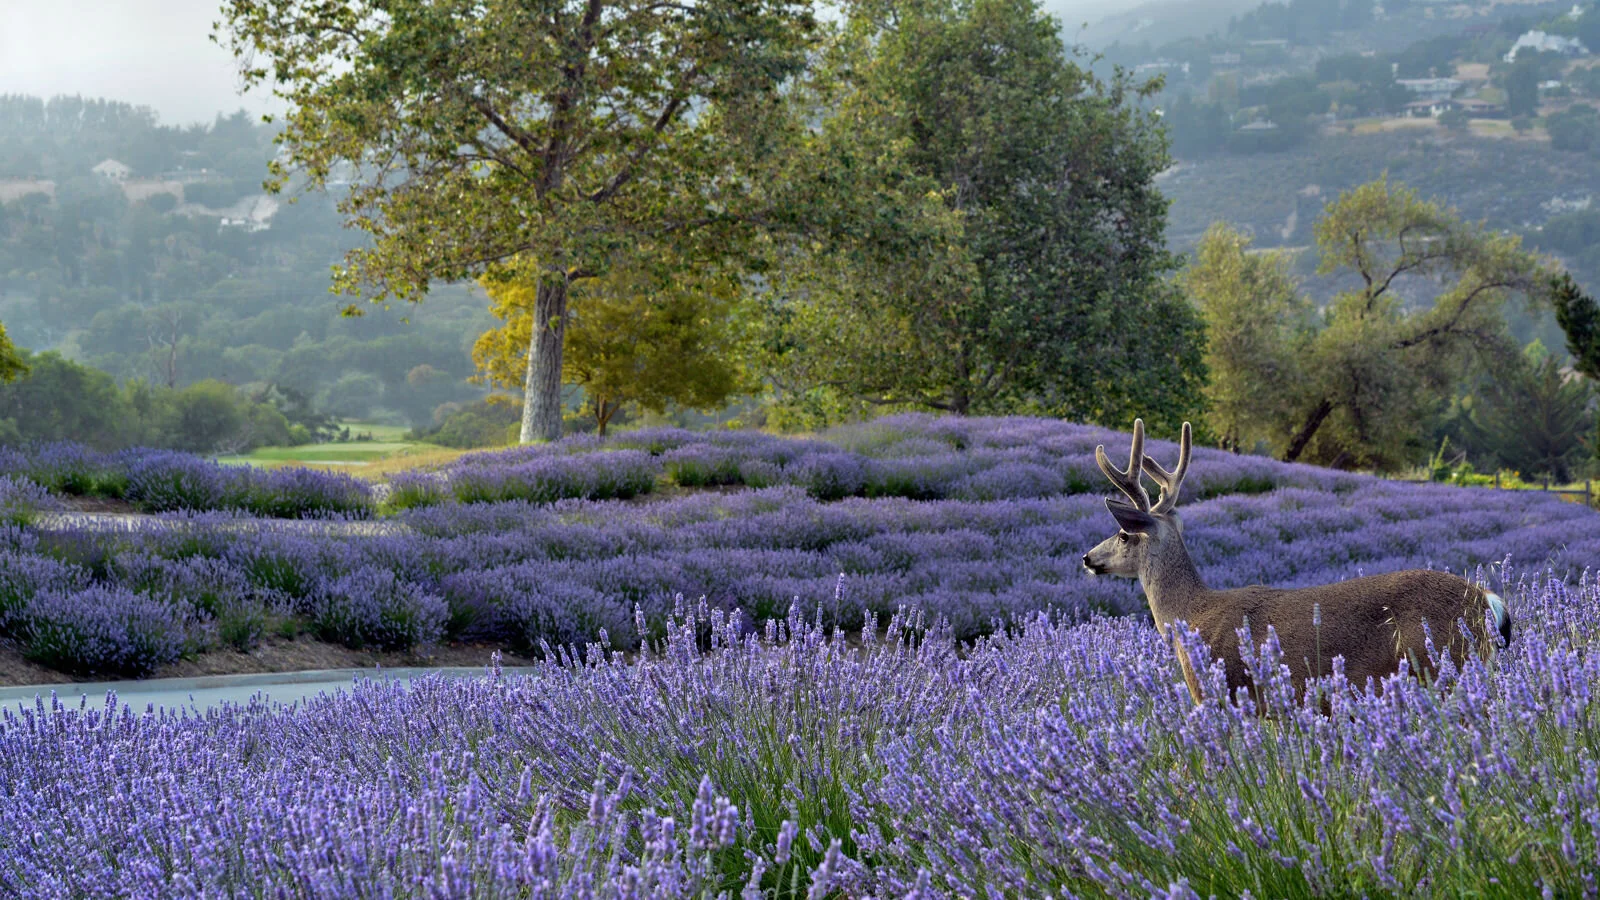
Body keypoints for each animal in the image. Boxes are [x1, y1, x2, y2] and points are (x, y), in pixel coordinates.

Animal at [1075, 416, 1510, 704]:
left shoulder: (1225, 694)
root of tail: (1487, 599)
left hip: (1445, 666)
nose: (1087, 557)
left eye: (1123, 534)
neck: (1190, 614)